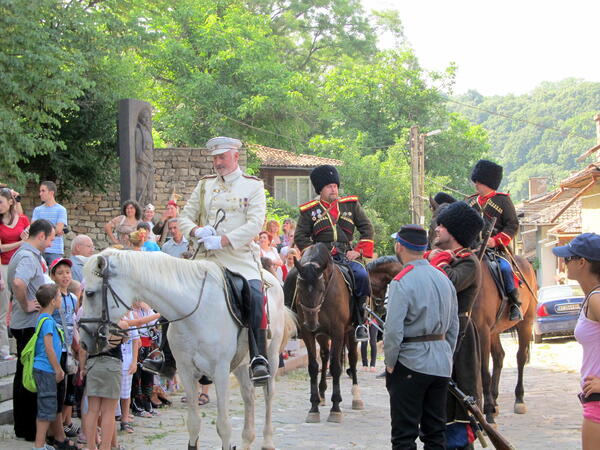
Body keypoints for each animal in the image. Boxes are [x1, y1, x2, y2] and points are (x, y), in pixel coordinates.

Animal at [78, 250, 296, 450]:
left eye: (90, 293)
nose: (84, 342)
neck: (194, 311)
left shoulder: (220, 372)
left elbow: (224, 426)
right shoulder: (186, 371)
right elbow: (193, 423)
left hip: (271, 357)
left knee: (268, 394)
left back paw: (267, 442)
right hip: (241, 364)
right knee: (248, 396)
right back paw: (247, 440)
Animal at [284, 243, 364, 422]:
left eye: (321, 289)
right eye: (299, 288)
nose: (312, 323)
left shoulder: (338, 332)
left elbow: (336, 367)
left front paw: (336, 408)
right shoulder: (308, 334)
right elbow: (313, 366)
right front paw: (313, 407)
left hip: (350, 332)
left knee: (352, 358)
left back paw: (357, 397)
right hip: (321, 335)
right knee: (325, 355)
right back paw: (321, 394)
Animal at [366, 251, 540, 424]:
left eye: (371, 285)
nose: (381, 310)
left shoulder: (481, 331)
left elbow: (483, 371)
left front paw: (487, 412)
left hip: (525, 322)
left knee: (520, 357)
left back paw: (518, 399)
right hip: (494, 332)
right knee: (499, 357)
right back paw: (494, 401)